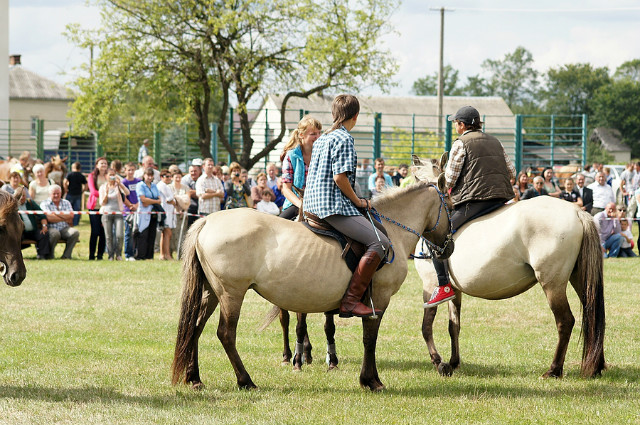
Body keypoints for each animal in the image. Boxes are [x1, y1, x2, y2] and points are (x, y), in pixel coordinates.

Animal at [172, 174, 456, 390]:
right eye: (452, 208)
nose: (449, 248)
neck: (391, 229)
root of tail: (207, 220)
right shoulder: (379, 300)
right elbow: (369, 339)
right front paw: (371, 380)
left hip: (212, 293)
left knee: (195, 328)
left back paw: (194, 378)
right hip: (231, 294)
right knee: (226, 334)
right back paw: (245, 380)